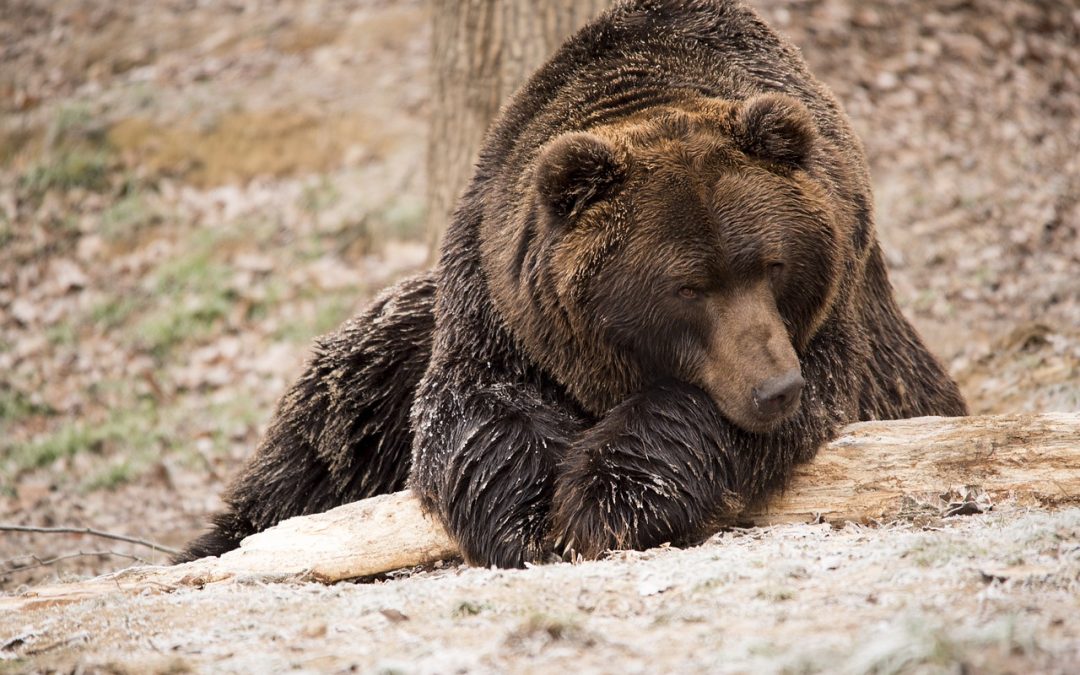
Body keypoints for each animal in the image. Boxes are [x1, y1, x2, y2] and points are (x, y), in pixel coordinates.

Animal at [181, 0, 967, 565]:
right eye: (687, 286)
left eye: (773, 264)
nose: (774, 388)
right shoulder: (497, 298)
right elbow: (474, 408)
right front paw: (532, 516)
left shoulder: (832, 321)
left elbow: (712, 412)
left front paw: (604, 499)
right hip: (392, 348)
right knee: (329, 425)